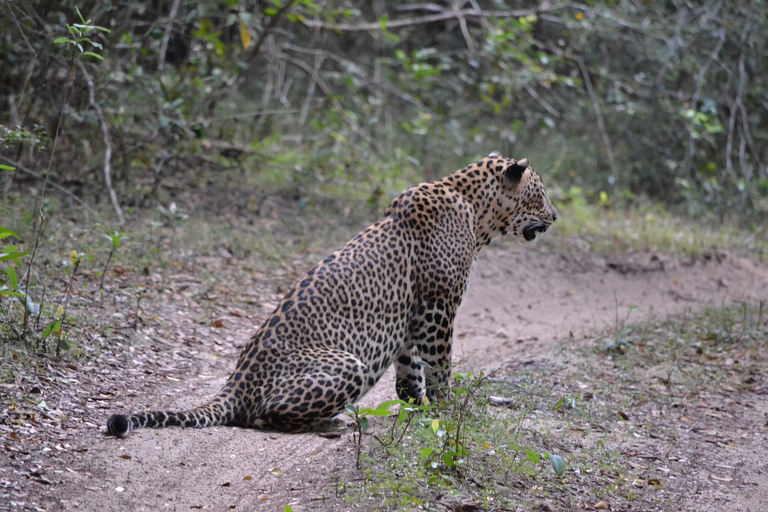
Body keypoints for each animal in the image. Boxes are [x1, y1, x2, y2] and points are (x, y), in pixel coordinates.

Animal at [106, 151, 560, 436]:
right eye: (540, 194)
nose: (556, 216)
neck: (477, 211)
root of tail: (235, 385)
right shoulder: (437, 308)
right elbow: (440, 366)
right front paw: (445, 410)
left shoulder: (411, 317)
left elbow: (409, 371)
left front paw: (418, 409)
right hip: (348, 363)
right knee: (264, 417)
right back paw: (333, 423)